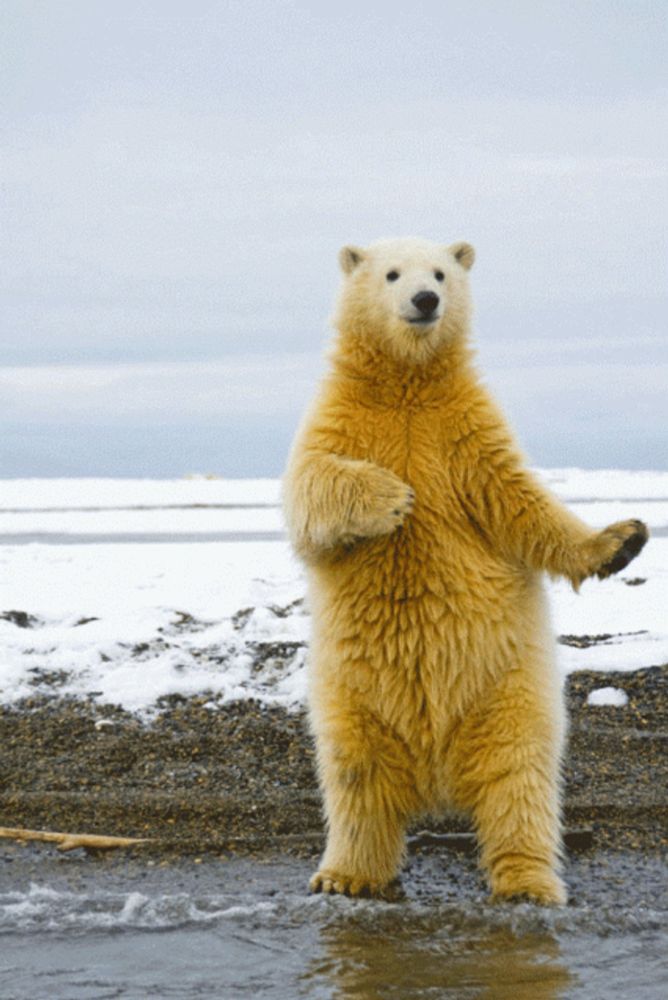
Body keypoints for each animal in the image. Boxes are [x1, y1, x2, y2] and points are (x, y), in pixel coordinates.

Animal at [282, 238, 648, 904]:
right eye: (391, 274)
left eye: (442, 271)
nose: (426, 300)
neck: (407, 384)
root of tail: (435, 777)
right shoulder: (340, 418)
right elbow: (311, 486)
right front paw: (393, 498)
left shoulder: (466, 433)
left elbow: (521, 503)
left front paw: (623, 538)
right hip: (353, 696)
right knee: (355, 776)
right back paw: (347, 874)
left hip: (506, 689)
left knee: (518, 777)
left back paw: (527, 882)